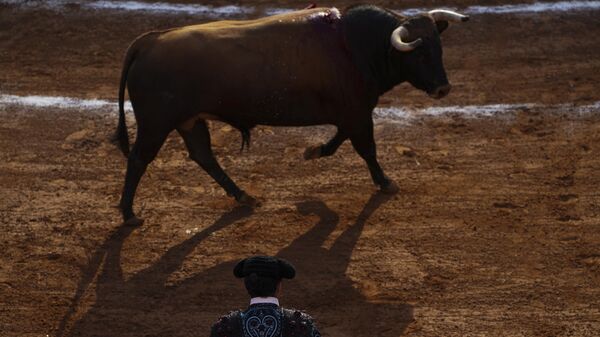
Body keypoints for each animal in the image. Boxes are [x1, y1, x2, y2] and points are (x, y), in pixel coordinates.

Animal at [113, 4, 468, 223]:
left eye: (438, 48)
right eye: (418, 52)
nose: (443, 89)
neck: (356, 46)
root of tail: (150, 41)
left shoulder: (350, 113)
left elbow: (339, 140)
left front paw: (314, 151)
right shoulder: (357, 113)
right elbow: (367, 148)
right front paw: (385, 182)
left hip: (190, 121)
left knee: (203, 155)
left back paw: (243, 195)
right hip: (156, 124)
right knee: (139, 159)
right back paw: (128, 214)